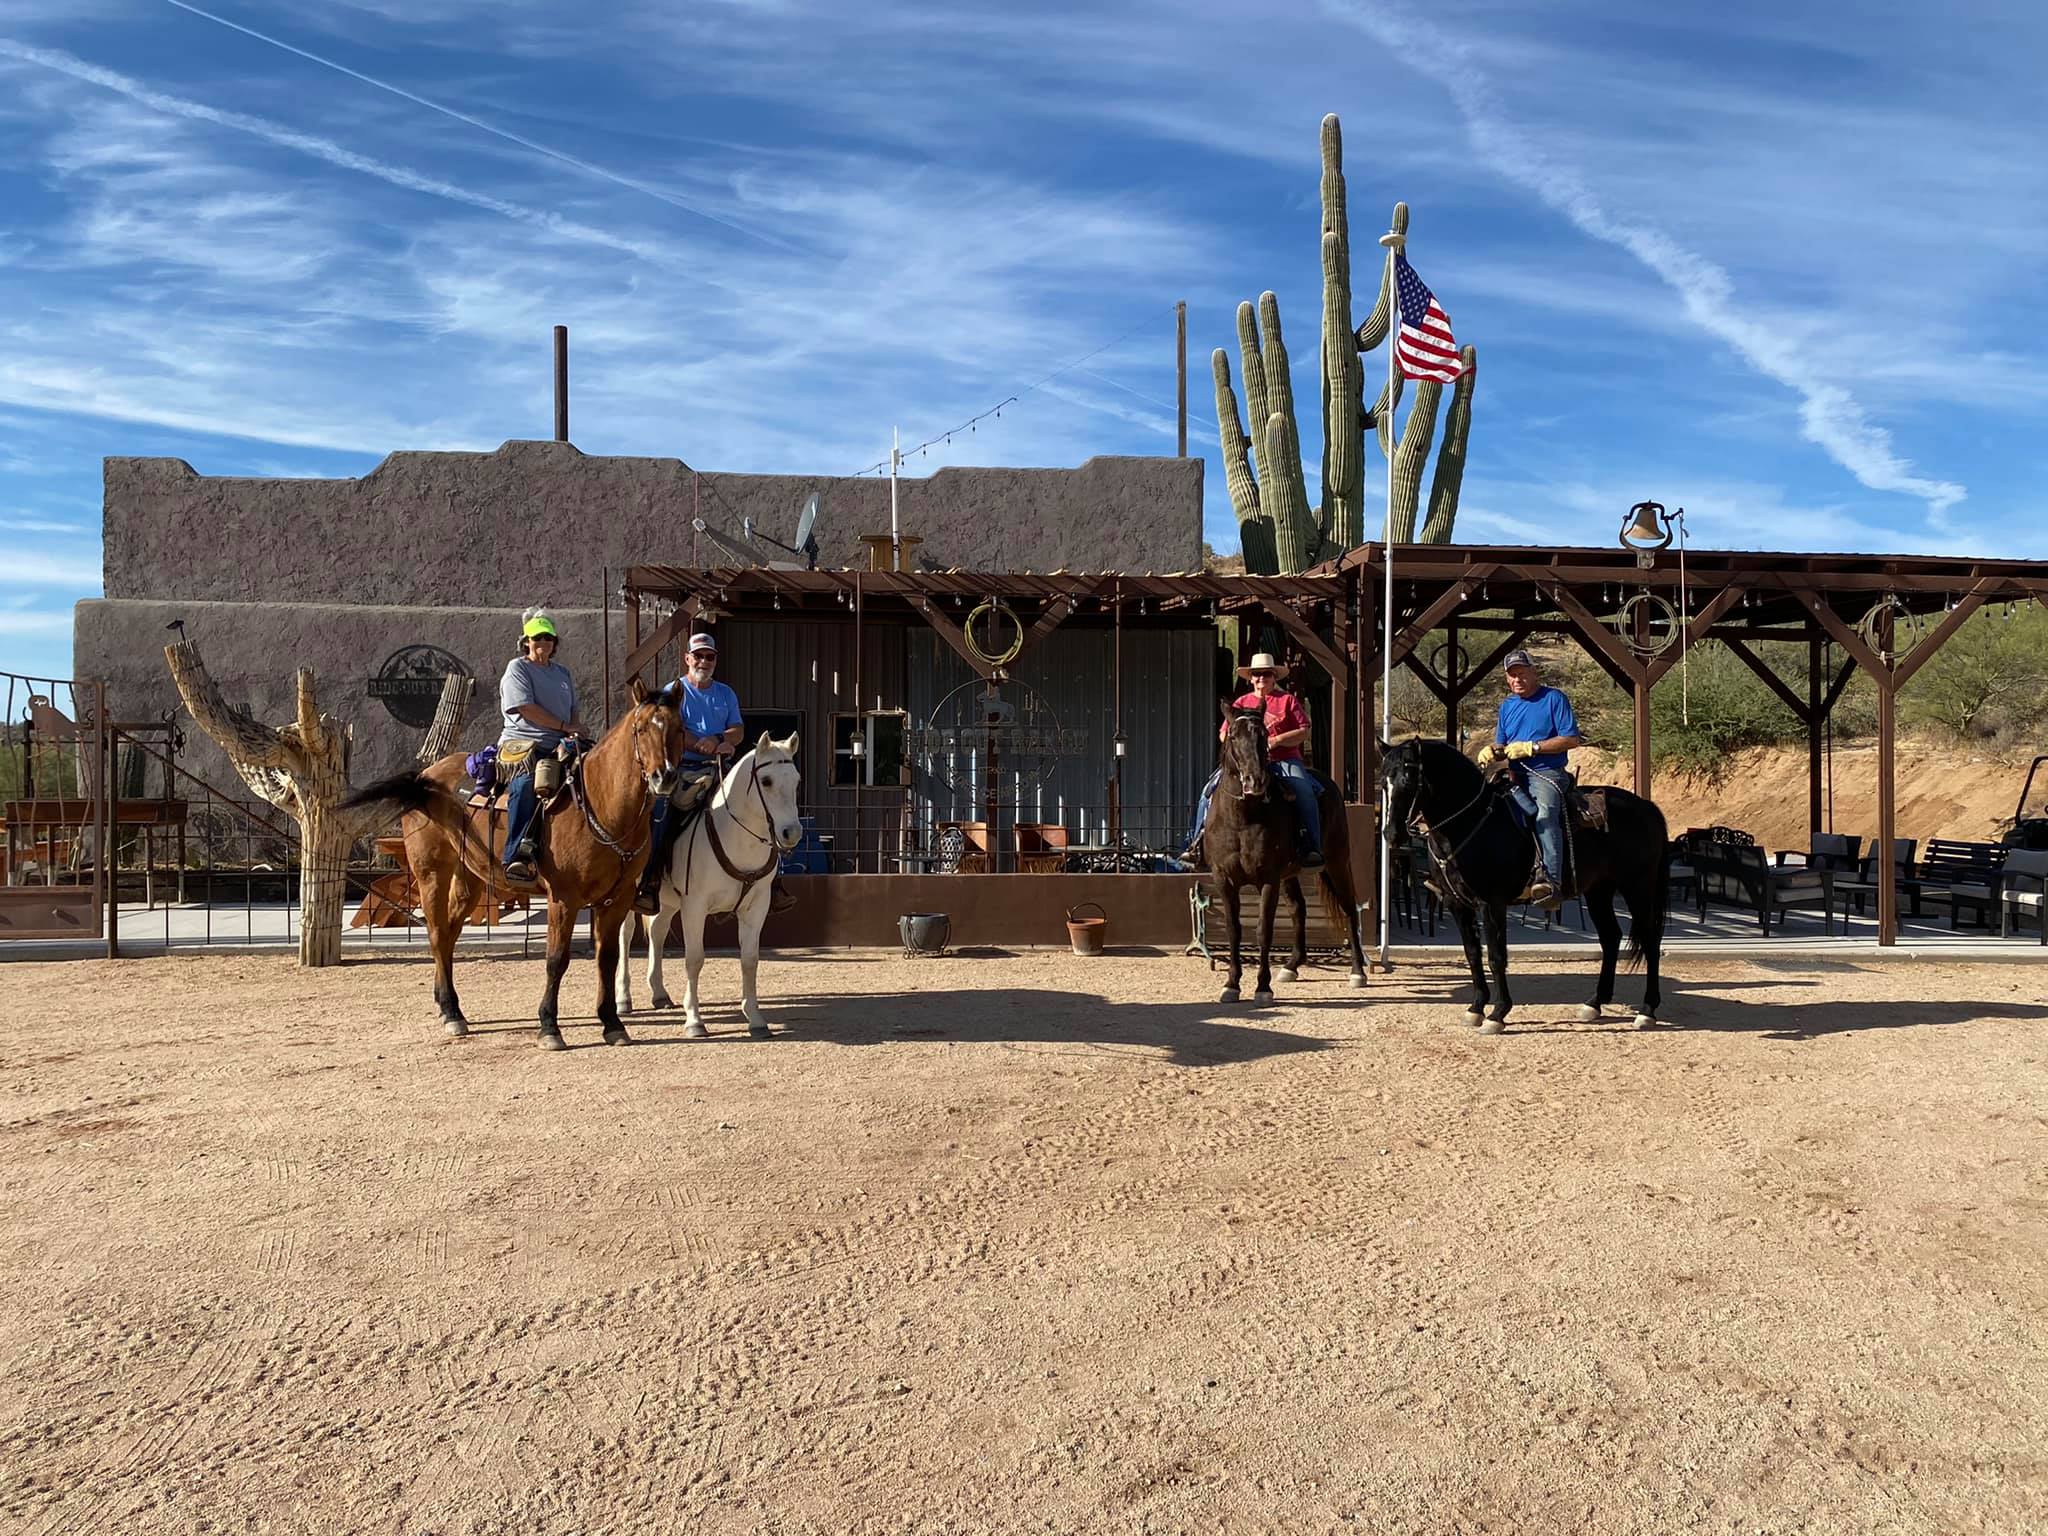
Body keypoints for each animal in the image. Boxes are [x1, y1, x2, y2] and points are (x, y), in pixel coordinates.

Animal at [339, 684, 684, 1056]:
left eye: (679, 729)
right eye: (642, 729)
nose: (664, 776)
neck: (600, 803)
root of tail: (426, 778)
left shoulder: (617, 900)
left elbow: (607, 958)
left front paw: (612, 1023)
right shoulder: (564, 899)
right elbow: (556, 960)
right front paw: (549, 1027)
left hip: (470, 879)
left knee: (449, 935)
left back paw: (450, 1007)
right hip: (431, 874)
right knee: (437, 934)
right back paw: (451, 1013)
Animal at [610, 729, 802, 1040]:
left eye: (796, 780)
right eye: (766, 780)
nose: (791, 833)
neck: (735, 836)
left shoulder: (756, 908)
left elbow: (750, 960)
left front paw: (756, 1019)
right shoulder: (695, 907)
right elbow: (694, 959)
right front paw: (694, 1020)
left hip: (666, 901)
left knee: (658, 932)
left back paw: (659, 993)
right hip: (628, 896)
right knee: (625, 936)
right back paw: (623, 999)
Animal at [1196, 704, 1368, 1003]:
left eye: (1264, 735)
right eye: (1233, 736)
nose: (1254, 781)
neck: (1243, 818)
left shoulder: (1268, 879)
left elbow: (1264, 930)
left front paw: (1262, 987)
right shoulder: (1224, 880)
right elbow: (1233, 930)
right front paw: (1231, 984)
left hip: (1336, 863)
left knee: (1348, 908)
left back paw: (1357, 972)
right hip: (1290, 875)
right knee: (1299, 908)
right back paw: (1291, 966)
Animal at [1384, 737, 1671, 1048]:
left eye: (1408, 778)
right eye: (1384, 781)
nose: (1391, 834)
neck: (1470, 822)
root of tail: (1648, 807)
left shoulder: (1491, 904)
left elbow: (1496, 957)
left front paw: (1498, 1013)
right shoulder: (1457, 904)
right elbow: (1472, 953)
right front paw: (1476, 1008)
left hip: (1638, 887)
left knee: (1650, 941)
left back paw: (1647, 1010)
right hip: (1599, 891)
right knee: (1611, 937)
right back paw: (1595, 1003)